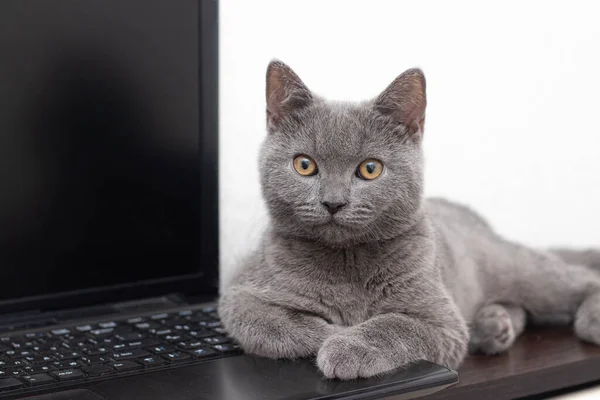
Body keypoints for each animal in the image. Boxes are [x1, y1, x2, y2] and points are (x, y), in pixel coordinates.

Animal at [218, 61, 600, 380]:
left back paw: (588, 321)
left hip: (515, 267)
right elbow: (280, 324)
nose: (333, 202)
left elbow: (395, 324)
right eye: (304, 165)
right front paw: (334, 333)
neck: (347, 262)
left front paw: (347, 346)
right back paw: (493, 327)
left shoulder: (442, 321)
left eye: (370, 169)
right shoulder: (240, 296)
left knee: (576, 279)